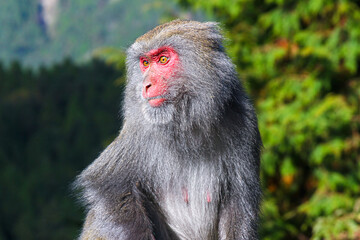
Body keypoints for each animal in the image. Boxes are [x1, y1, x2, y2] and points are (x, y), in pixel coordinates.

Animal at [76, 19, 262, 239]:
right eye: (145, 63)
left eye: (163, 59)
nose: (146, 85)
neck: (188, 124)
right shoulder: (138, 129)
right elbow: (109, 186)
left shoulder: (244, 122)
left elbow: (238, 203)